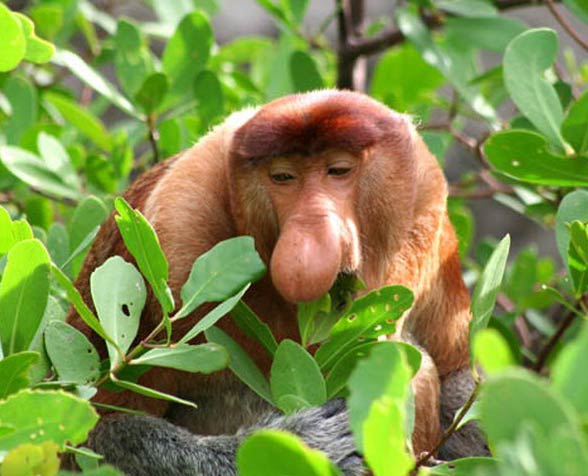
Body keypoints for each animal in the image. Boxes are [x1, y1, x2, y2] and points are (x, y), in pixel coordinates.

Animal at [69, 91, 484, 474]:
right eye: (283, 177)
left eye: (338, 170)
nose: (311, 230)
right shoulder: (174, 228)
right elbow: (95, 431)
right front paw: (309, 443)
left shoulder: (427, 205)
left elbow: (457, 375)